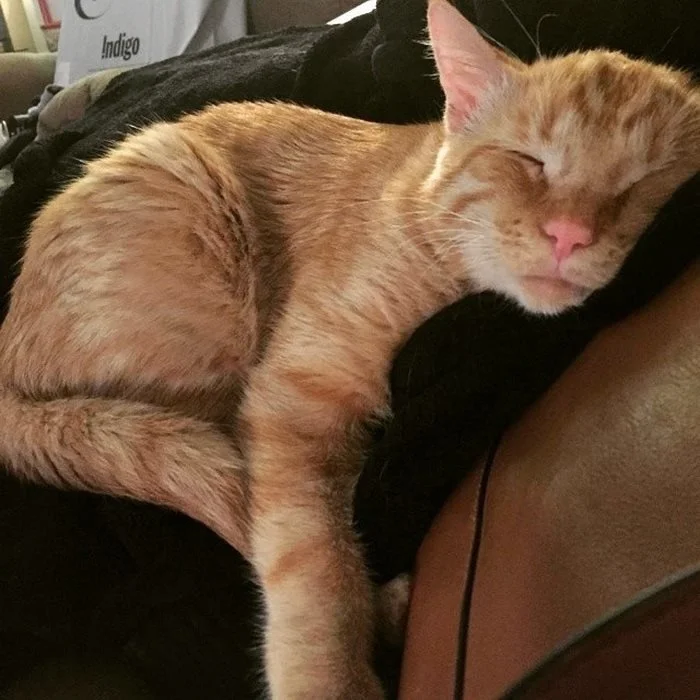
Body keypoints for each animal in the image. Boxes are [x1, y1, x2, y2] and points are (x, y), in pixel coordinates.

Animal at [1, 0, 699, 697]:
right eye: (530, 160)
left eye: (646, 183)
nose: (570, 234)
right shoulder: (291, 399)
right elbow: (315, 569)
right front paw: (332, 674)